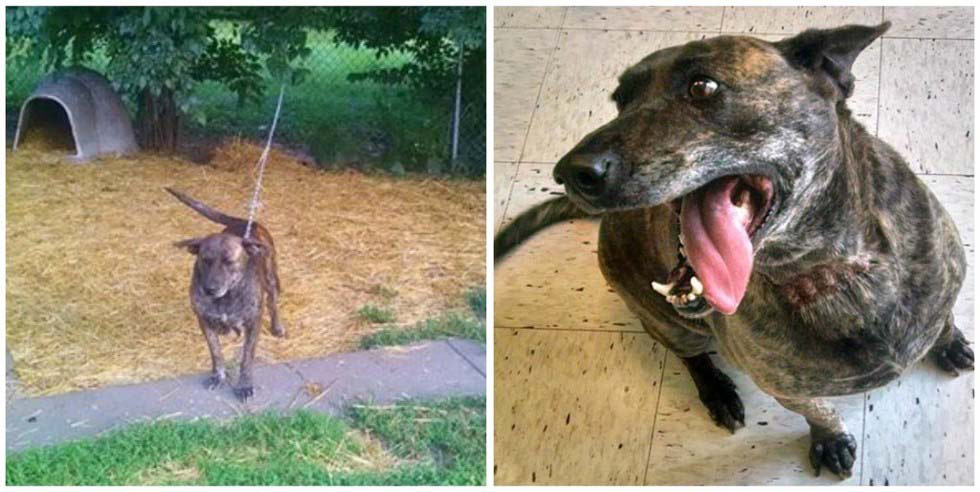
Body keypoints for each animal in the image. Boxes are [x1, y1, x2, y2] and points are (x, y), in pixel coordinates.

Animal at [167, 186, 284, 402]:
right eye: (205, 260)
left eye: (229, 262)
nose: (209, 289)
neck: (226, 296)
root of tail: (244, 222)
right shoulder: (204, 320)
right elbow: (216, 352)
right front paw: (218, 375)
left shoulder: (253, 322)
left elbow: (246, 358)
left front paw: (244, 385)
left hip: (271, 278)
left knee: (273, 303)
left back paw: (277, 326)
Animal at [498, 22, 972, 476]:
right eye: (620, 101)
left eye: (703, 87)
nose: (571, 173)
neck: (833, 272)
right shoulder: (783, 386)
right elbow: (819, 411)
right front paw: (830, 439)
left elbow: (942, 320)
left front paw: (948, 341)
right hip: (664, 321)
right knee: (690, 356)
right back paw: (717, 391)